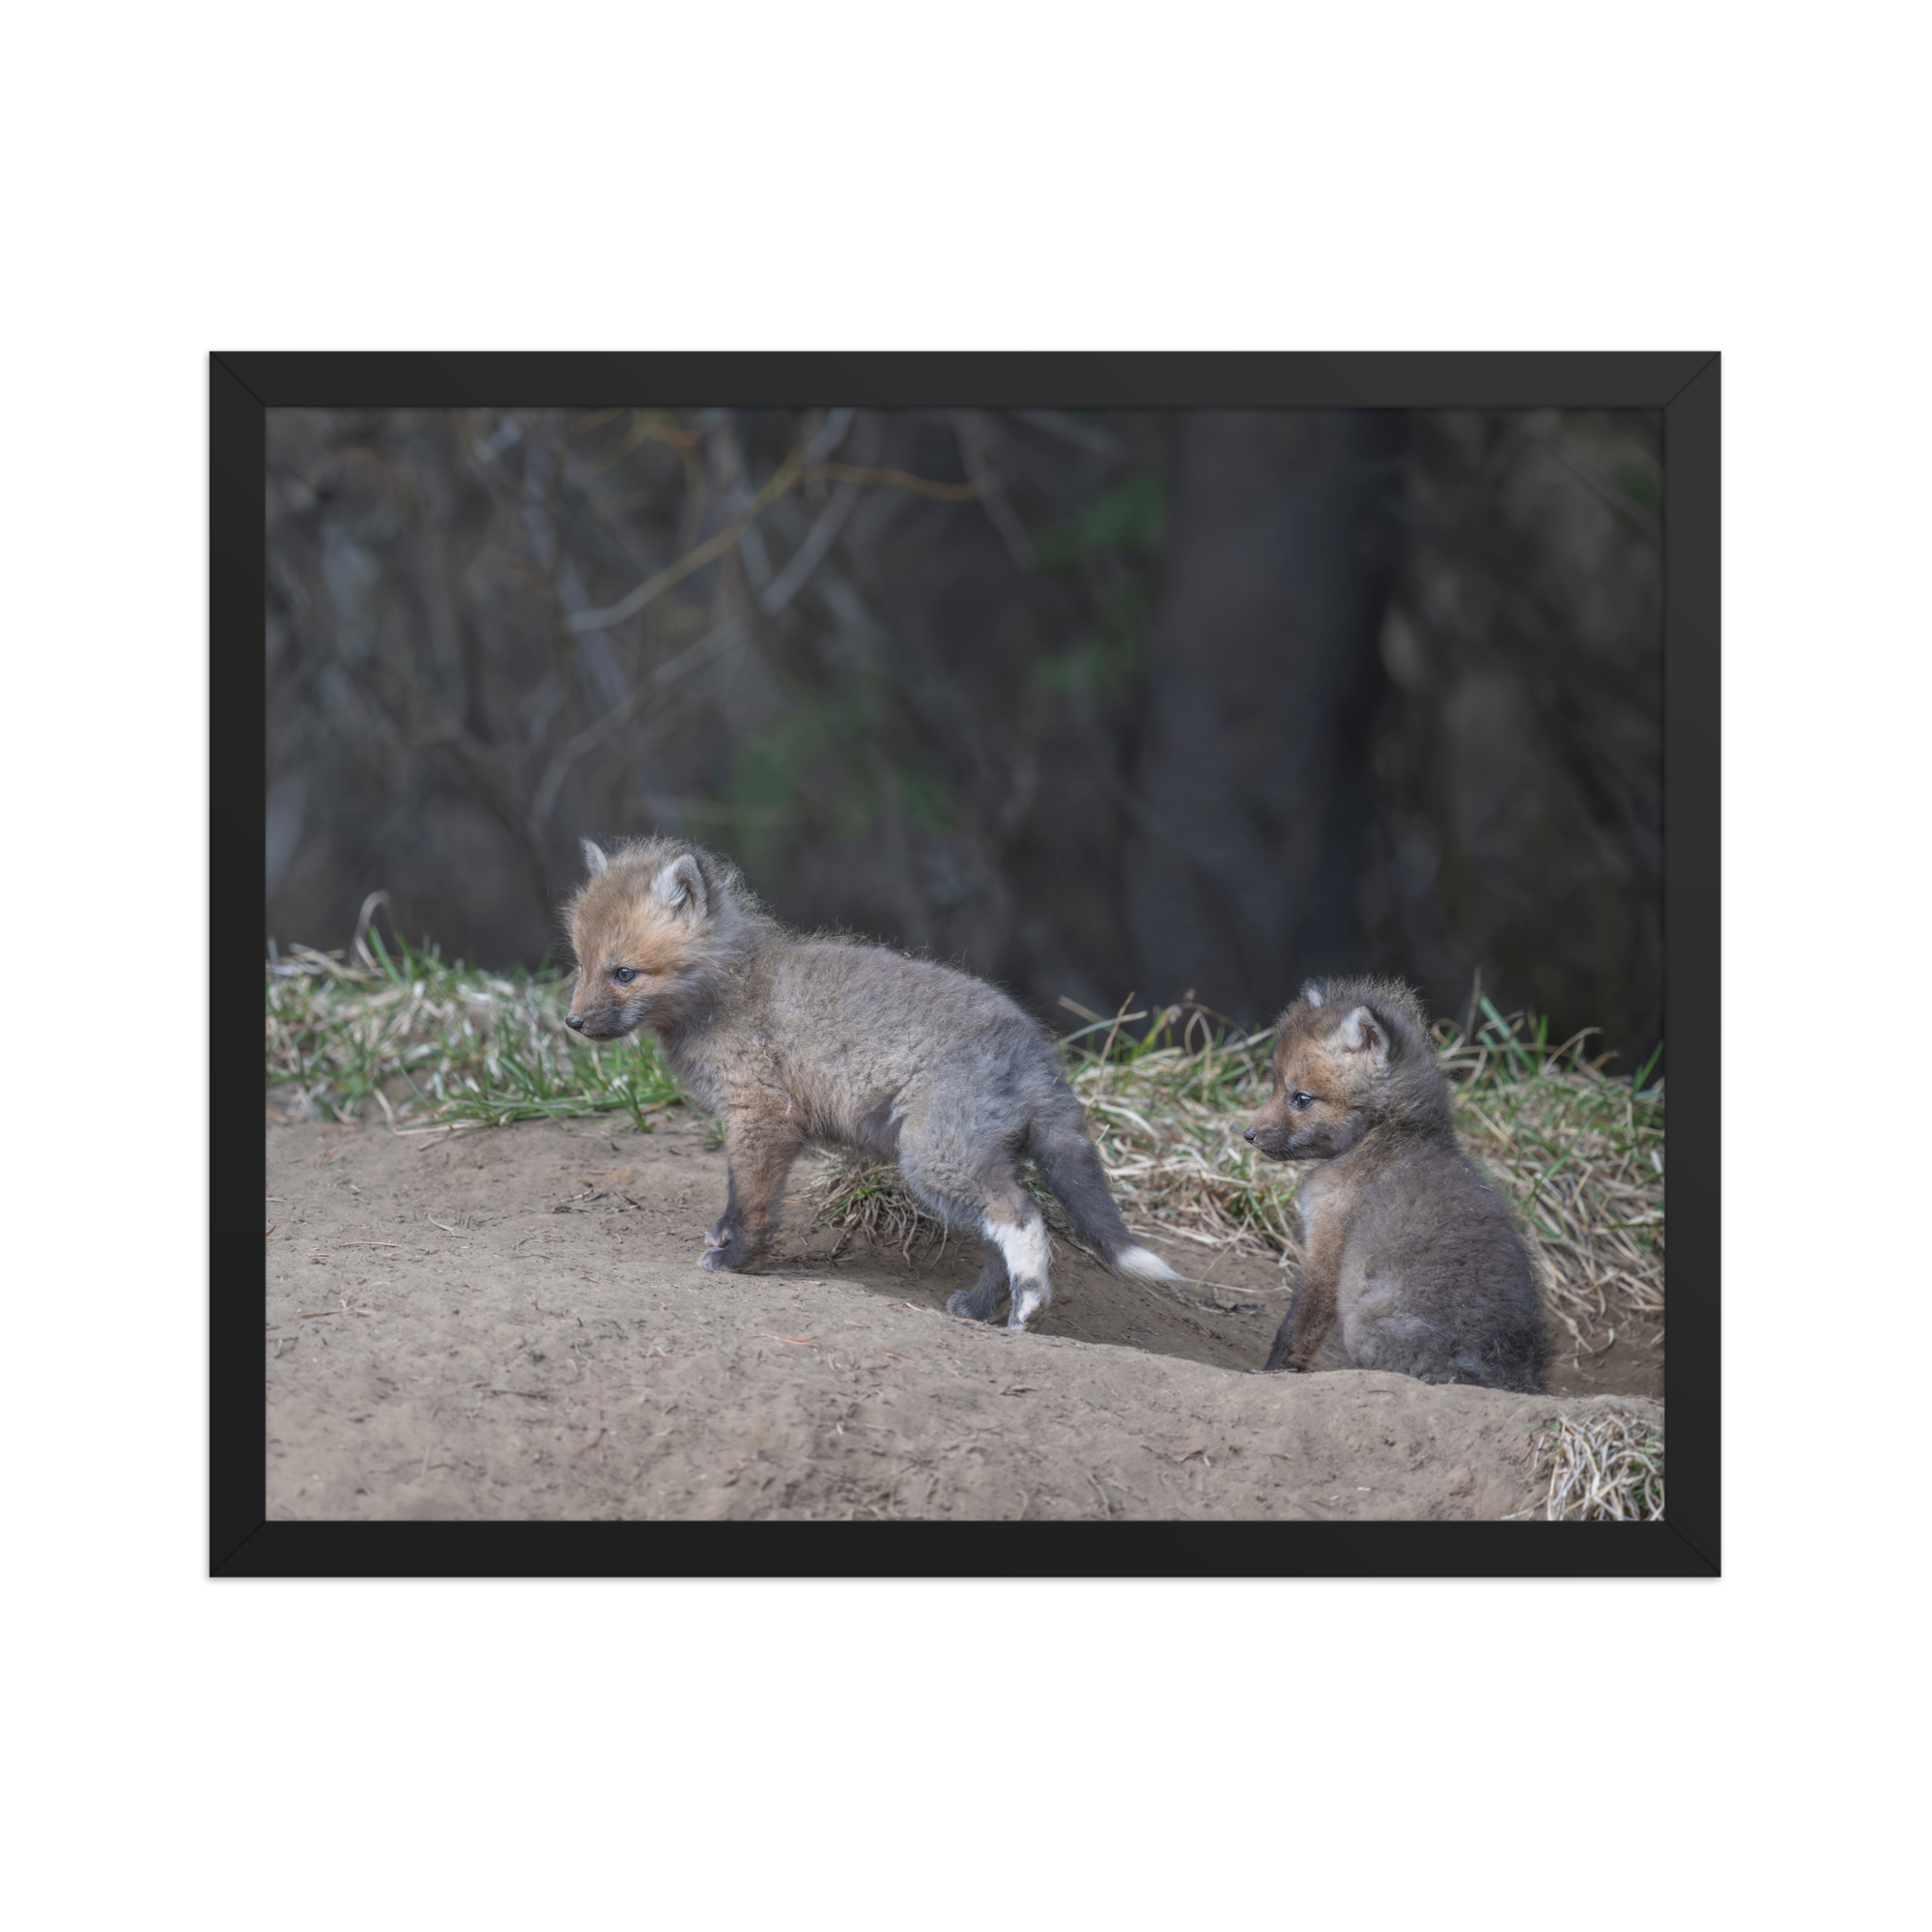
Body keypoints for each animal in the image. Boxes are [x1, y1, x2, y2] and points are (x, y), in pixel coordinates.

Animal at [562, 836, 1177, 1329]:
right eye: (581, 965)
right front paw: (726, 1237)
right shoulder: (755, 1124)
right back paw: (980, 1309)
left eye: (624, 973)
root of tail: (1038, 1051)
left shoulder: (762, 1116)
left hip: (934, 1161)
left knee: (1022, 1217)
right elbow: (739, 1195)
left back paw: (1030, 1307)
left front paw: (737, 1260)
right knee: (996, 1242)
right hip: (963, 1166)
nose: (572, 1023)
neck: (729, 990)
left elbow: (753, 1201)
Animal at [1245, 977, 1546, 1392]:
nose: (1248, 1135)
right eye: (1275, 1086)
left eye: (1301, 1099)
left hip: (1361, 1325)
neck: (1388, 1134)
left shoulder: (1327, 1245)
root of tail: (1506, 1376)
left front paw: (1271, 1372)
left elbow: (1298, 1327)